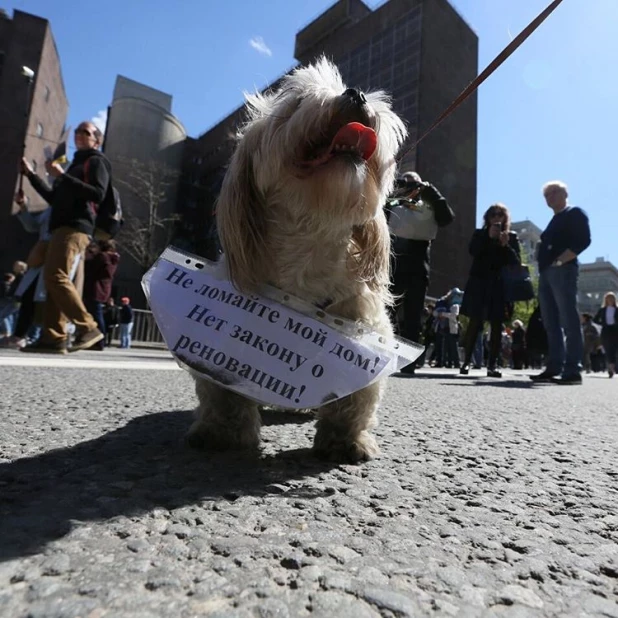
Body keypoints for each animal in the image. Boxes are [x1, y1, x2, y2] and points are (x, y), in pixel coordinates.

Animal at [188, 57, 410, 462]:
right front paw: (223, 434)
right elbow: (222, 393)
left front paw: (345, 440)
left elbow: (355, 399)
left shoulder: (364, 335)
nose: (355, 93)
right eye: (298, 101)